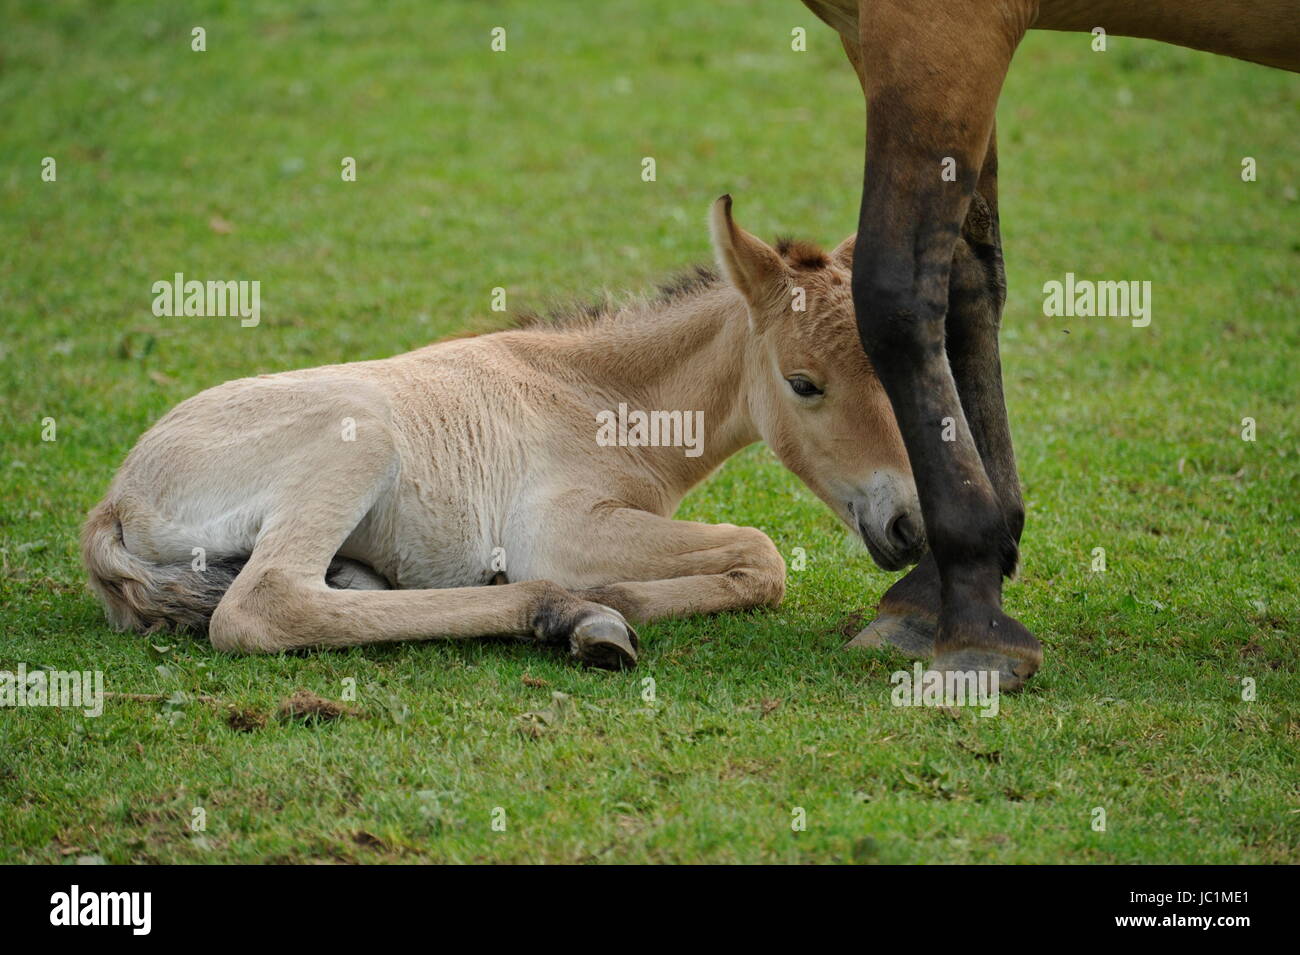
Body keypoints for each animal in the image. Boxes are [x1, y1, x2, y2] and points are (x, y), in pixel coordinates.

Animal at [81, 198, 925, 669]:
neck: (595, 396)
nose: (909, 524)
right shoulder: (559, 528)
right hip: (358, 442)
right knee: (265, 606)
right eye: (803, 382)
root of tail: (113, 503)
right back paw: (569, 612)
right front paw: (608, 595)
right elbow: (762, 552)